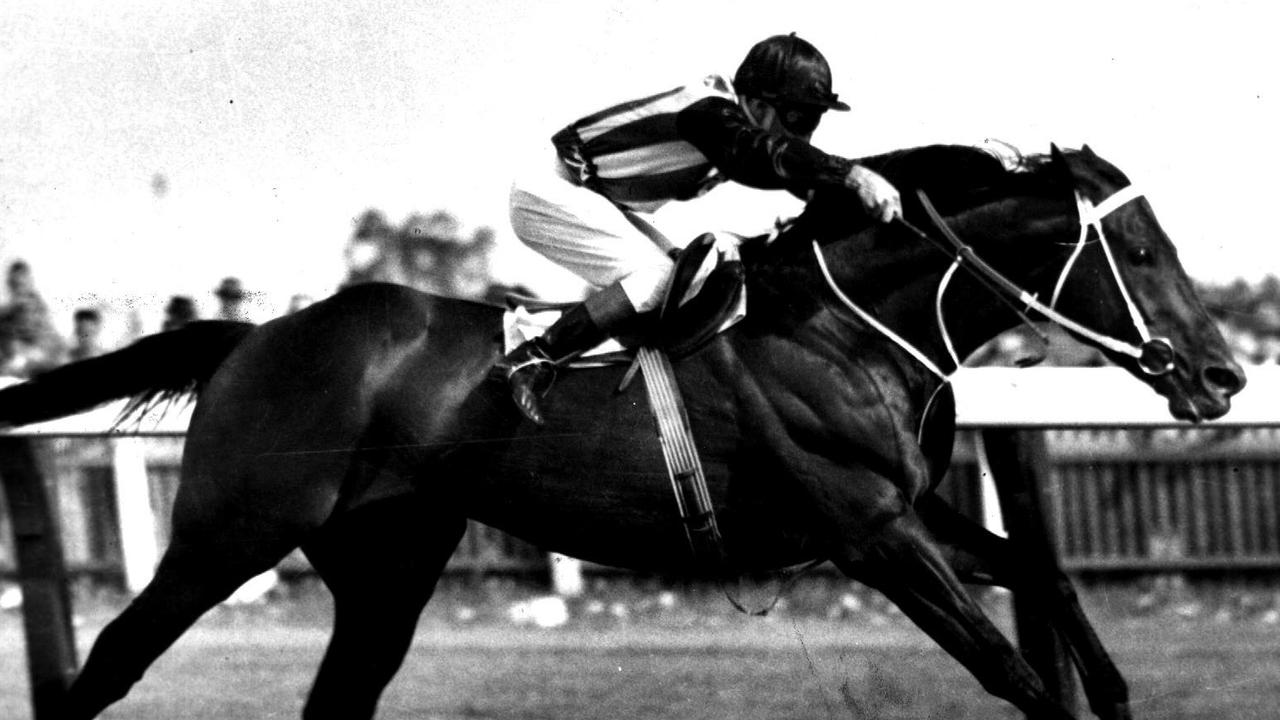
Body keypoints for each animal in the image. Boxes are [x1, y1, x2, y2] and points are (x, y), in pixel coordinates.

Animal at [0, 142, 1244, 712]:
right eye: (1138, 253)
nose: (1222, 374)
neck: (843, 324)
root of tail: (254, 335)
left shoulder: (909, 508)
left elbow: (1040, 570)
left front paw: (1115, 691)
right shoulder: (870, 534)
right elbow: (1010, 670)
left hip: (386, 562)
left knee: (339, 694)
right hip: (231, 528)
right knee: (109, 660)